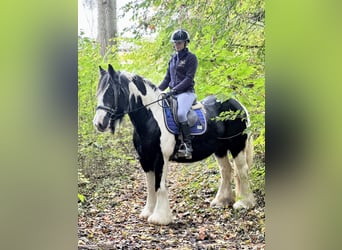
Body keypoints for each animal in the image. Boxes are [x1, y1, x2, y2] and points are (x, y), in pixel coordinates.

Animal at [92, 64, 255, 225]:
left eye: (111, 92)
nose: (98, 123)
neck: (151, 118)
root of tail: (238, 104)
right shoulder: (145, 159)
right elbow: (150, 187)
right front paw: (148, 212)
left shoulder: (160, 158)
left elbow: (159, 186)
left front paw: (160, 218)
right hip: (220, 149)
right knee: (226, 170)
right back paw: (222, 201)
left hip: (237, 145)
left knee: (242, 170)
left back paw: (244, 203)